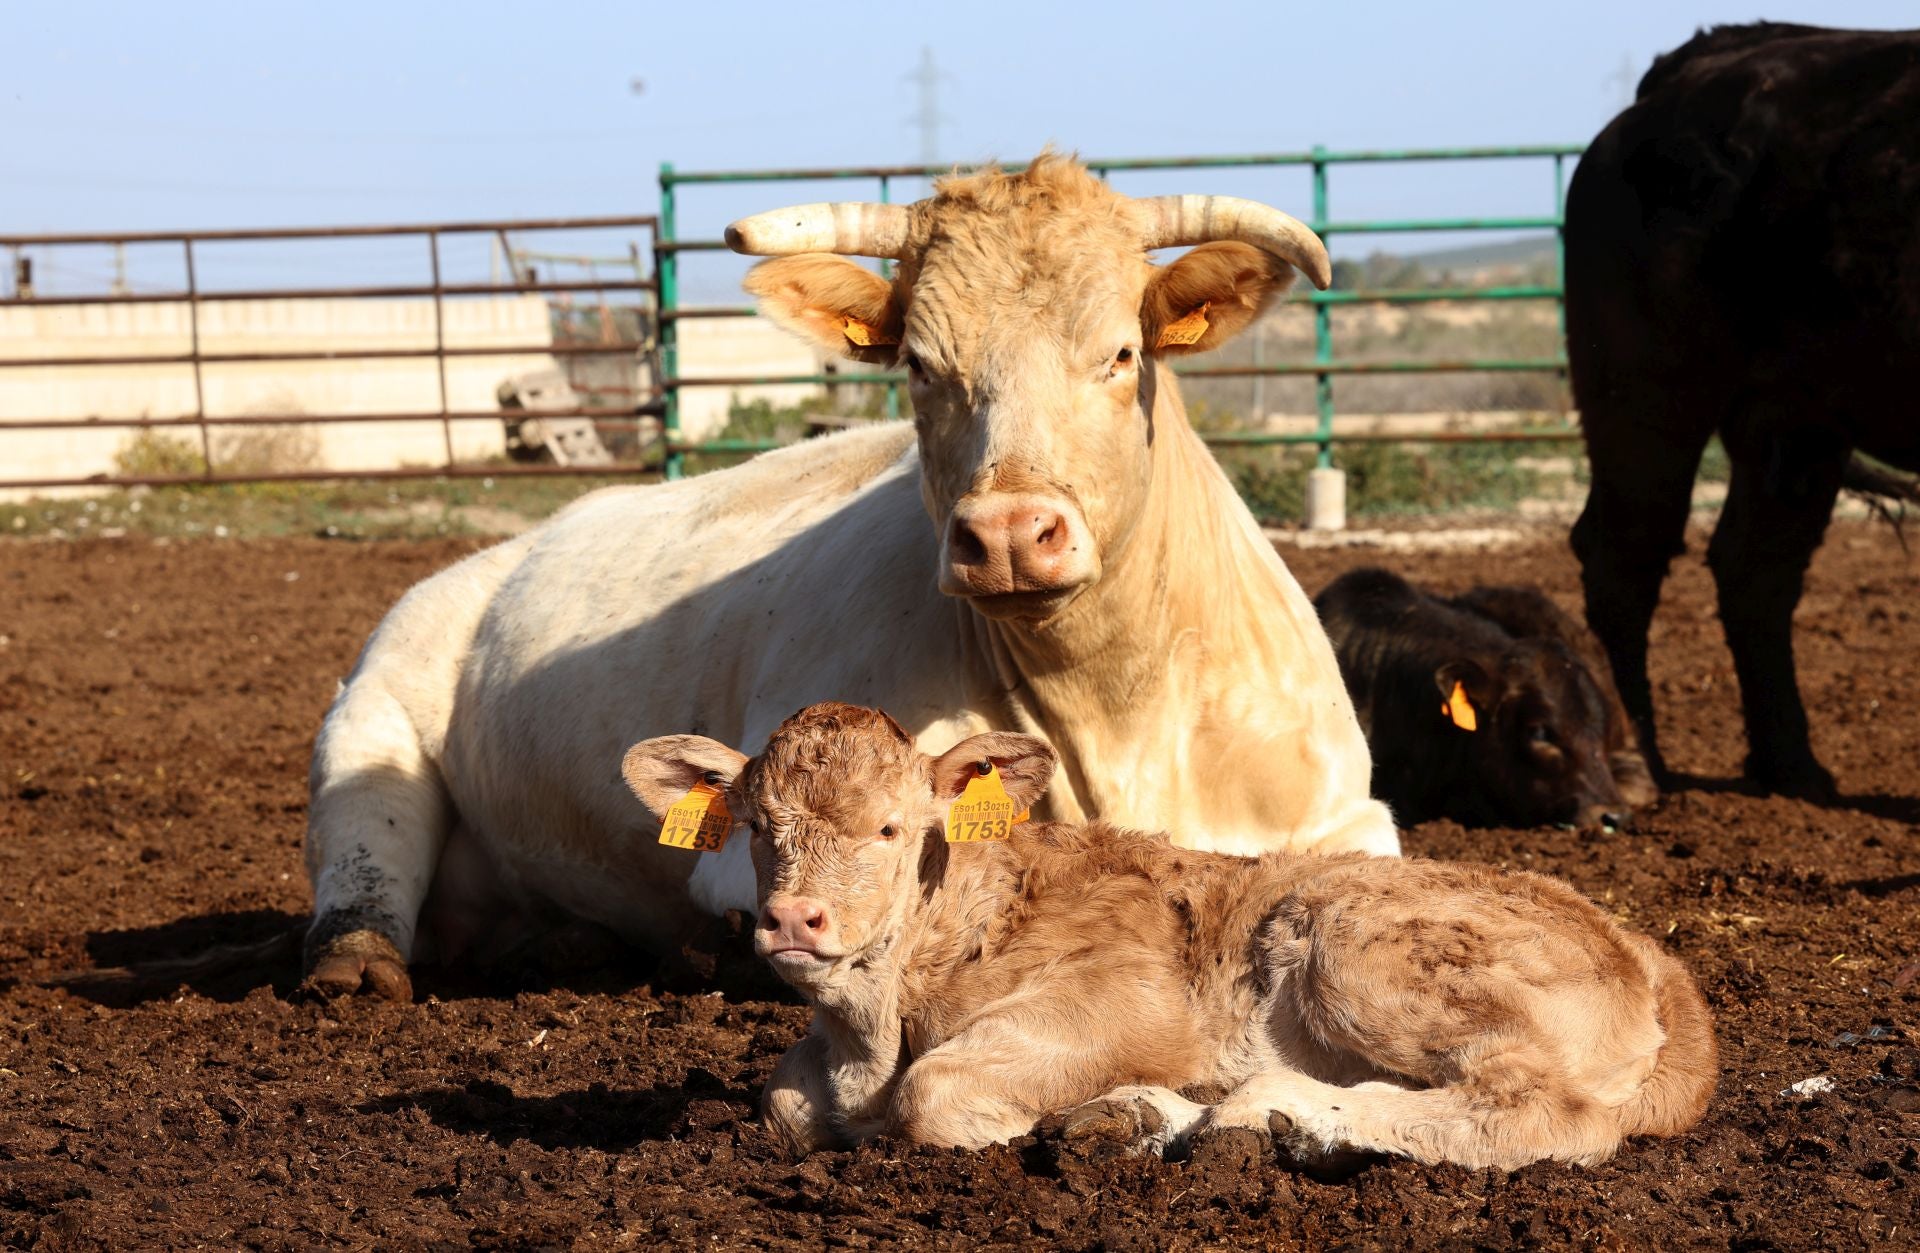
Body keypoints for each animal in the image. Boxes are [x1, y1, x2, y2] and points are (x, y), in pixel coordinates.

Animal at [307, 153, 1405, 997]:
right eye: (919, 363)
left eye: (1123, 353)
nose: (1010, 531)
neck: (1118, 706)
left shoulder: (1351, 814)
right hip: (373, 720)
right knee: (362, 860)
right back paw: (360, 962)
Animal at [622, 698, 1720, 1166]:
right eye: (759, 828)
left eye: (891, 827)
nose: (793, 918)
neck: (875, 1028)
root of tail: (1652, 956)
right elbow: (782, 1102)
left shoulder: (1128, 1002)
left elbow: (935, 1093)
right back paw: (1150, 1117)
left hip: (1358, 948)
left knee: (1549, 1115)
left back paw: (1292, 1116)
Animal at [1559, 19, 1920, 798]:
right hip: (1647, 398)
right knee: (1624, 560)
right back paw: (1645, 764)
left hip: (1794, 420)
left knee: (1757, 571)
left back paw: (1794, 767)